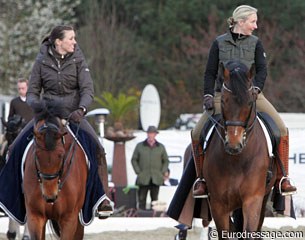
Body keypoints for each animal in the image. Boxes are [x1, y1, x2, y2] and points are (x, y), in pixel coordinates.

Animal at [203, 60, 276, 238]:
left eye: (249, 102)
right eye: (223, 101)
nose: (234, 145)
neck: (236, 160)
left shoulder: (253, 199)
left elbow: (249, 231)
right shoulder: (218, 204)